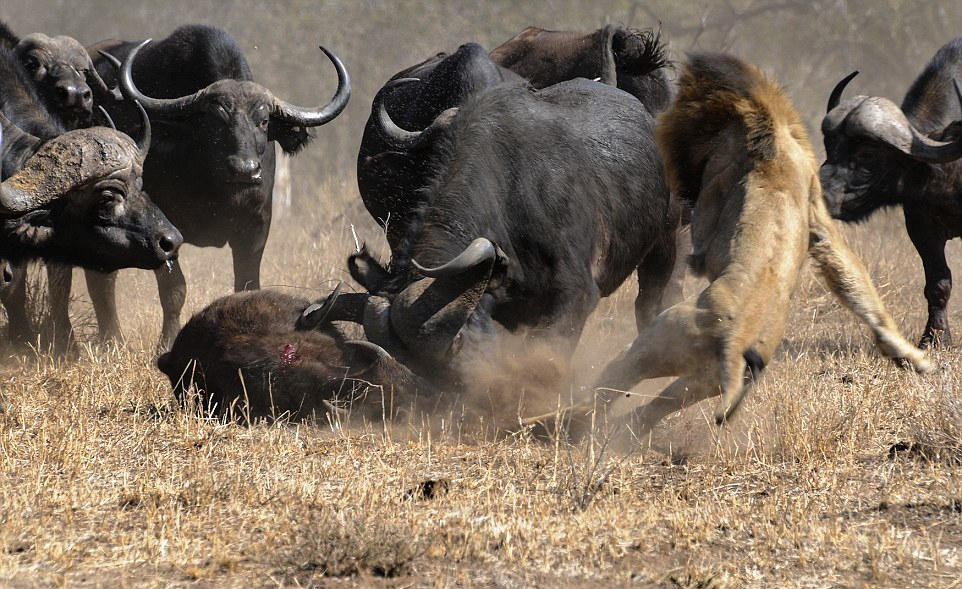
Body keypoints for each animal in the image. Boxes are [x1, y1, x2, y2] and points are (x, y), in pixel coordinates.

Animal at [816, 38, 960, 350]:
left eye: (868, 154)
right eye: (830, 145)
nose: (819, 194)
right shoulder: (920, 227)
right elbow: (938, 283)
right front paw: (934, 338)